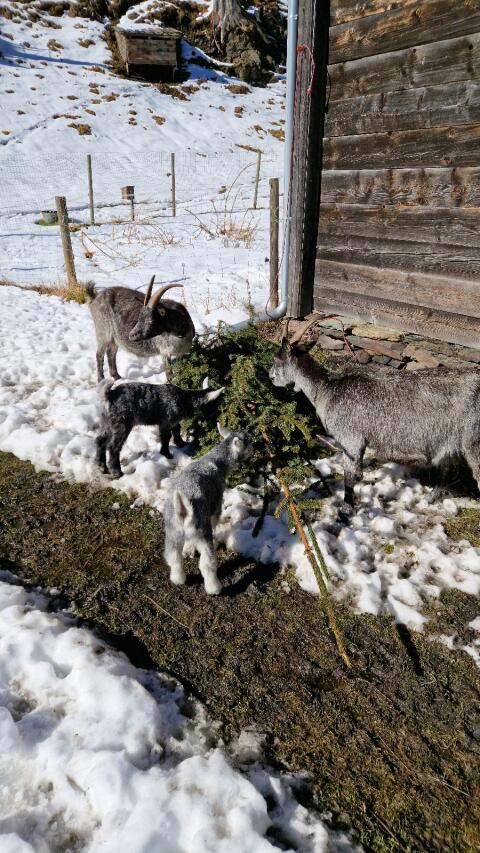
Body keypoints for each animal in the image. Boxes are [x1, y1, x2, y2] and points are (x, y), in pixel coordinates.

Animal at [96, 377, 224, 477]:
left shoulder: (173, 422)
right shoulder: (166, 422)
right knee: (113, 447)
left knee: (100, 440)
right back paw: (117, 472)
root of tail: (110, 394)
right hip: (122, 424)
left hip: (107, 422)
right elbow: (166, 437)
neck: (184, 400)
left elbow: (176, 430)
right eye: (216, 404)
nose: (220, 416)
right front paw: (167, 454)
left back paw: (102, 467)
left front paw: (181, 443)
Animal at [163, 424, 252, 594]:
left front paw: (188, 550)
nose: (256, 444)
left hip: (173, 533)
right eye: (247, 441)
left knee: (174, 558)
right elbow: (215, 521)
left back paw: (178, 579)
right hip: (202, 533)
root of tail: (183, 510)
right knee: (207, 563)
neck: (215, 461)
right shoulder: (215, 507)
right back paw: (214, 588)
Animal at [270, 338, 480, 514]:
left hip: (473, 440)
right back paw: (430, 498)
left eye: (277, 358)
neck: (327, 388)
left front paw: (345, 511)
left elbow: (351, 476)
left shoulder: (351, 438)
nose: (271, 377)